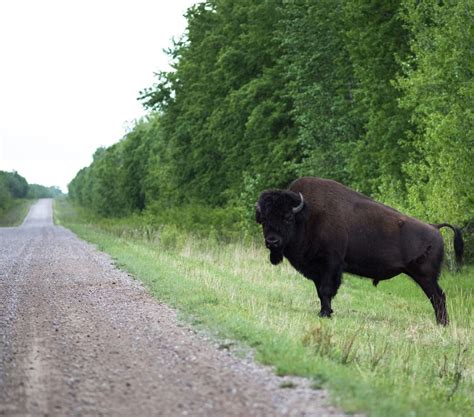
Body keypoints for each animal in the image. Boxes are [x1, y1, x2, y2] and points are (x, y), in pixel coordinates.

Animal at [256, 176, 462, 324]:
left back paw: (442, 324)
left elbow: (326, 290)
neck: (307, 215)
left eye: (287, 218)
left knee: (438, 297)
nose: (272, 241)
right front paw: (325, 311)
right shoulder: (317, 269)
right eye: (264, 219)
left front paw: (325, 314)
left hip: (426, 277)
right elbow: (320, 292)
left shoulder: (331, 265)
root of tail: (435, 227)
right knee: (438, 297)